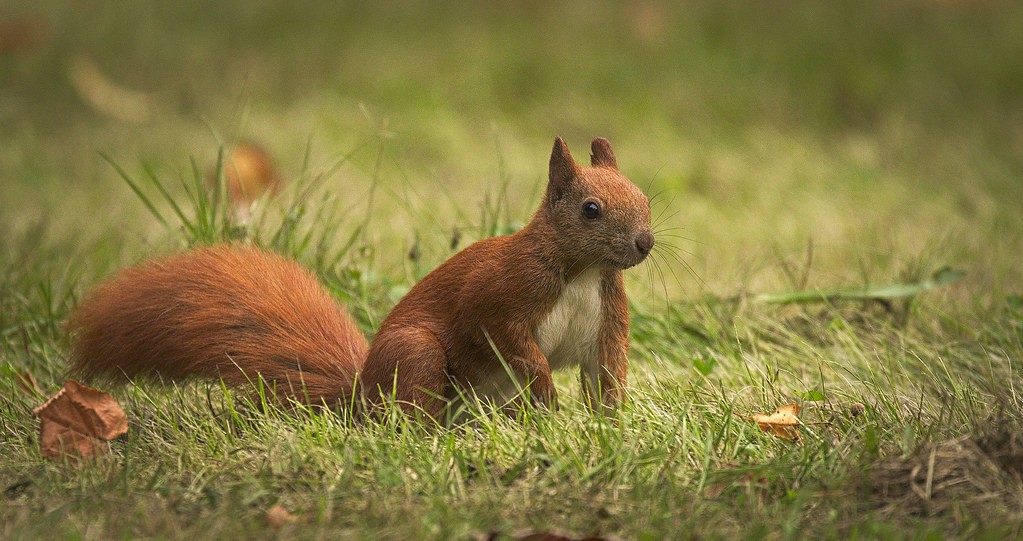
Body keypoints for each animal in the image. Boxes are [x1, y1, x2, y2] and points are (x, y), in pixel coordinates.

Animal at [68, 137, 654, 419]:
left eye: (645, 196)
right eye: (591, 209)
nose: (646, 242)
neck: (582, 272)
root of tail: (362, 394)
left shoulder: (607, 317)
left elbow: (607, 371)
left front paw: (608, 426)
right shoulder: (502, 293)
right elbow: (509, 341)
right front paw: (549, 395)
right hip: (415, 353)